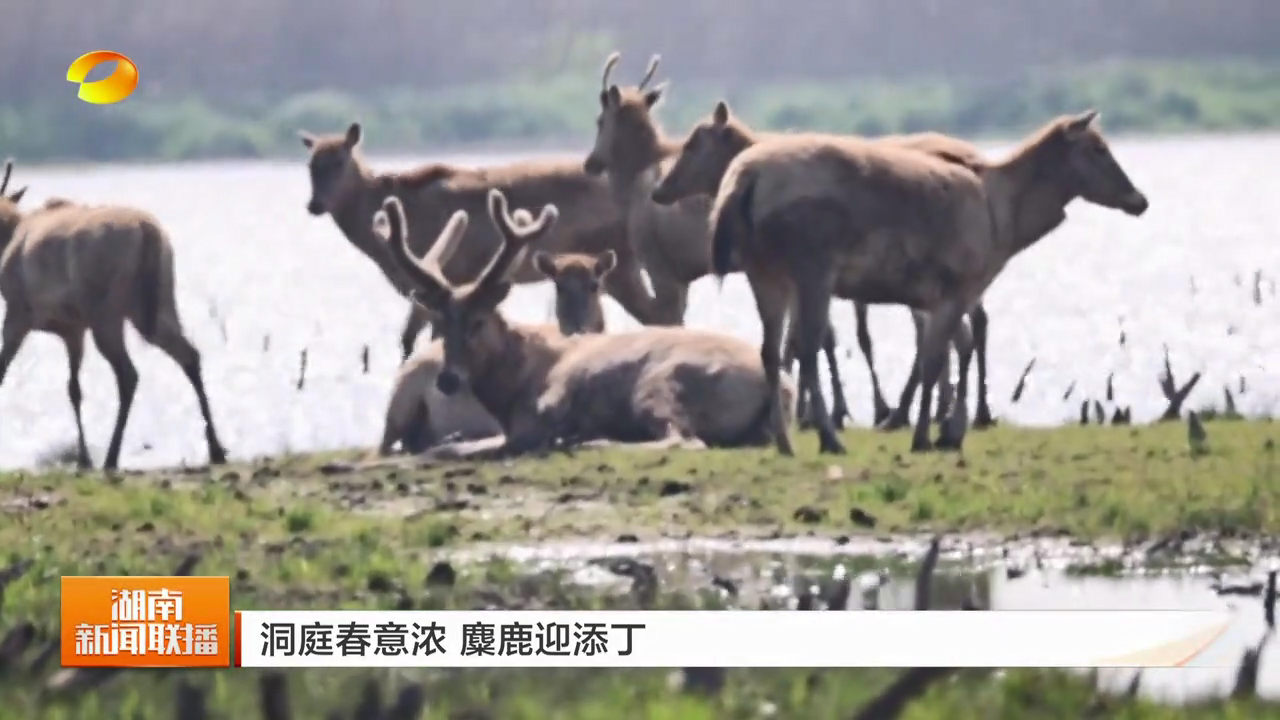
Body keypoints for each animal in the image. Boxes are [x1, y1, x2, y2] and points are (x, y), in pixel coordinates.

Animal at [0, 160, 227, 470]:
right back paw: (215, 448)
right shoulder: (73, 329)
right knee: (190, 355)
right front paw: (83, 458)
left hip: (107, 313)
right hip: (156, 306)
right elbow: (74, 389)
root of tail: (147, 230)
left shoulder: (18, 313)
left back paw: (111, 456)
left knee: (129, 374)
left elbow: (3, 372)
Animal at [298, 122, 661, 363]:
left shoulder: (445, 274)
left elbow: (422, 338)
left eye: (339, 162)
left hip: (621, 262)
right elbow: (408, 339)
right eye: (310, 165)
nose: (314, 204)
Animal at [374, 187, 795, 457]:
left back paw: (592, 441)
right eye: (442, 323)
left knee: (683, 438)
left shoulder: (541, 410)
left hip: (660, 383)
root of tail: (778, 390)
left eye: (478, 321)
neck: (510, 387)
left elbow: (453, 448)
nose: (448, 379)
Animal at [583, 52, 990, 432]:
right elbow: (806, 338)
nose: (590, 163)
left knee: (945, 332)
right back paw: (954, 412)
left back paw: (923, 412)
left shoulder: (664, 268)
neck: (633, 182)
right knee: (961, 326)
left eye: (600, 120)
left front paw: (816, 412)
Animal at [707, 111, 1148, 456]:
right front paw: (930, 435)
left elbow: (944, 353)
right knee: (808, 349)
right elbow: (935, 358)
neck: (1003, 226)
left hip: (764, 269)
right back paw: (829, 438)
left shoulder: (935, 296)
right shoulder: (958, 284)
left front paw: (946, 430)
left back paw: (785, 441)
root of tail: (741, 180)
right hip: (811, 263)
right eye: (1098, 148)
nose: (1140, 200)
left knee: (769, 350)